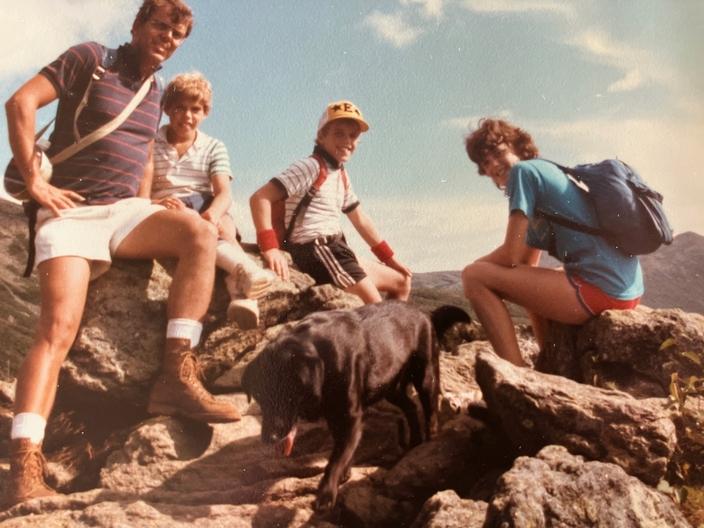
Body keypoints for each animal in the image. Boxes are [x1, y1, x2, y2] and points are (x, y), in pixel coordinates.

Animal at [243, 302, 472, 512]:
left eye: (287, 395)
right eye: (259, 398)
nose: (268, 438)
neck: (322, 356)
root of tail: (426, 313)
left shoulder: (349, 417)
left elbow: (335, 459)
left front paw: (326, 493)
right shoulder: (336, 416)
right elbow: (342, 450)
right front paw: (343, 474)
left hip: (425, 377)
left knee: (430, 412)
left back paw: (428, 443)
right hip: (390, 387)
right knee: (411, 408)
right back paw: (413, 445)